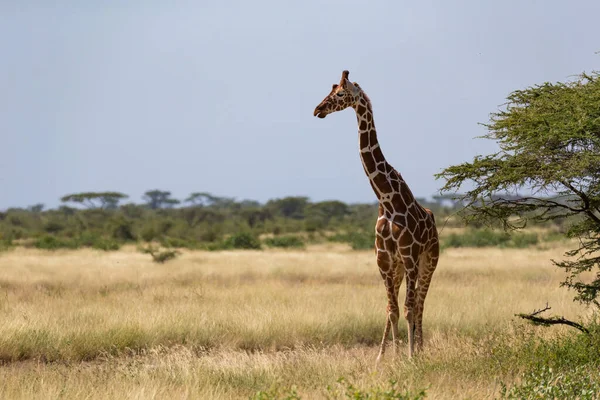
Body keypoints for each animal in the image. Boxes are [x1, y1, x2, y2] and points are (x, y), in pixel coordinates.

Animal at [314, 70, 440, 360]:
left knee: (420, 304)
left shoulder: (409, 256)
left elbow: (408, 308)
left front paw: (410, 357)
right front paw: (388, 358)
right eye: (330, 89)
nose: (317, 110)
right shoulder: (383, 259)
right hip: (398, 267)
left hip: (429, 260)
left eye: (340, 93)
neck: (387, 199)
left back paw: (421, 350)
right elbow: (391, 310)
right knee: (399, 305)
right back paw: (390, 353)